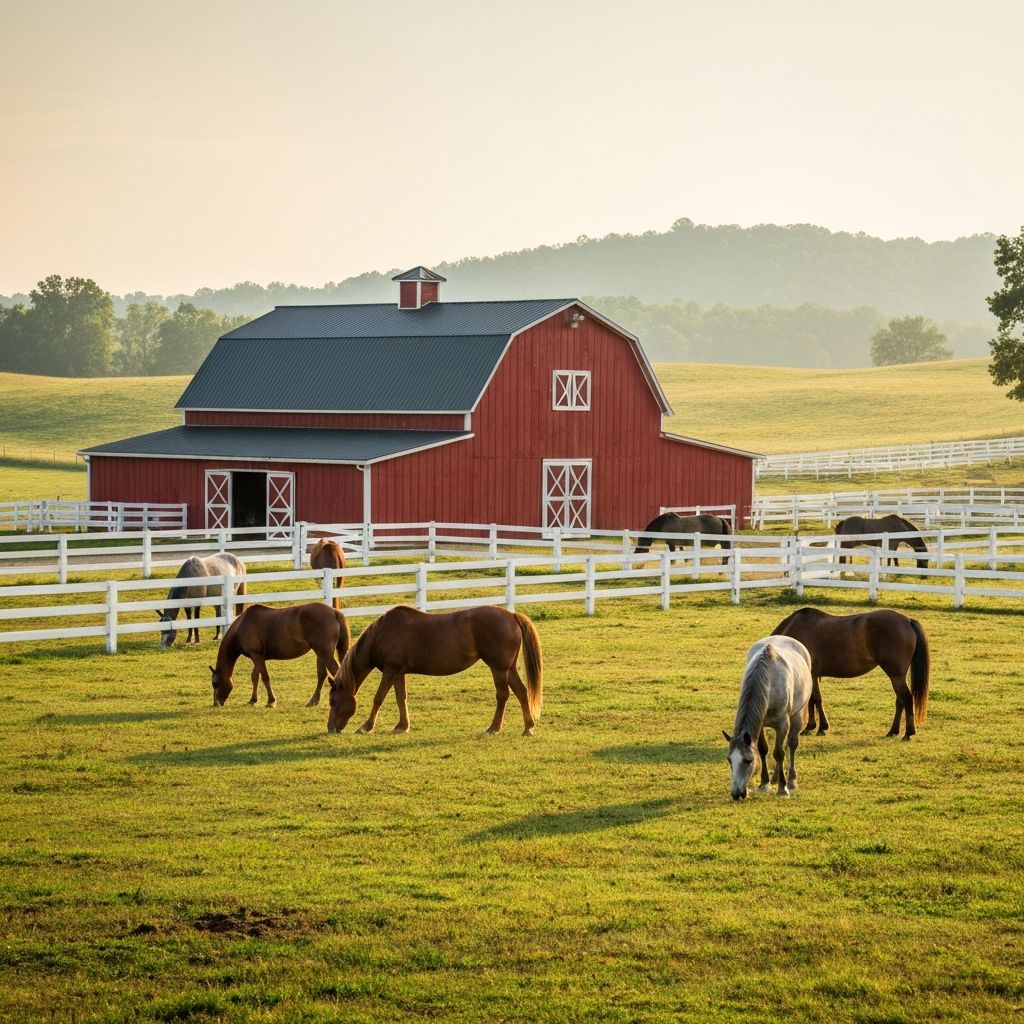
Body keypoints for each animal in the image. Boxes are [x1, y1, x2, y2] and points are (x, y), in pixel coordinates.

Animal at [209, 602, 351, 708]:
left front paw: (271, 701)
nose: (216, 704)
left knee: (335, 672)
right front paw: (252, 700)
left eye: (215, 683)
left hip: (325, 654)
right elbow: (255, 677)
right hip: (320, 653)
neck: (241, 626)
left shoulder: (256, 656)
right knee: (322, 675)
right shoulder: (258, 657)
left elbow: (265, 677)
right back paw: (313, 701)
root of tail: (334, 612)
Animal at [327, 605, 543, 736]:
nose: (331, 728)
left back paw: (494, 728)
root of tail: (512, 616)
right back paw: (528, 727)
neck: (382, 634)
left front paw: (366, 727)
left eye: (333, 701)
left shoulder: (389, 671)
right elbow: (401, 698)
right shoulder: (398, 673)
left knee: (502, 695)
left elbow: (378, 698)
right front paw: (402, 726)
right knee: (522, 692)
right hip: (509, 669)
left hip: (498, 669)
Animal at [722, 635, 813, 800]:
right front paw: (764, 784)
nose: (736, 794)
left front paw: (783, 788)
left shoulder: (783, 723)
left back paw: (791, 780)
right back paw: (775, 777)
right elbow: (763, 749)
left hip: (796, 716)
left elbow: (779, 753)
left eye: (748, 761)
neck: (769, 681)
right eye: (729, 759)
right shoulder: (761, 724)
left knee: (791, 744)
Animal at [771, 607, 930, 740]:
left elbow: (814, 699)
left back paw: (908, 733)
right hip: (897, 677)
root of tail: (908, 621)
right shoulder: (814, 676)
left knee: (906, 698)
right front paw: (817, 726)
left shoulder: (812, 674)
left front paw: (816, 727)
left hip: (896, 676)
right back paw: (893, 731)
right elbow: (814, 700)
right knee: (900, 701)